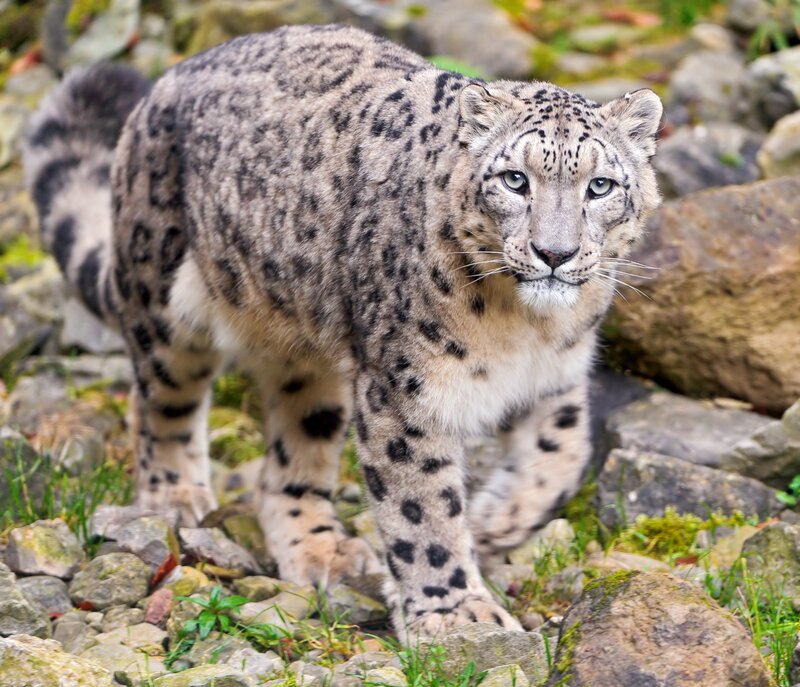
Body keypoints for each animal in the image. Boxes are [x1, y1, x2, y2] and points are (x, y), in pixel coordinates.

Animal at [24, 23, 662, 640]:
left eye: (601, 186)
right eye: (514, 180)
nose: (555, 253)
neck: (524, 329)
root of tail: (161, 87)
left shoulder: (557, 377)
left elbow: (563, 454)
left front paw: (495, 522)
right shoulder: (407, 392)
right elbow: (422, 508)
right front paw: (455, 613)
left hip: (308, 359)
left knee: (290, 454)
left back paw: (323, 550)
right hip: (162, 300)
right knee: (159, 401)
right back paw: (176, 496)